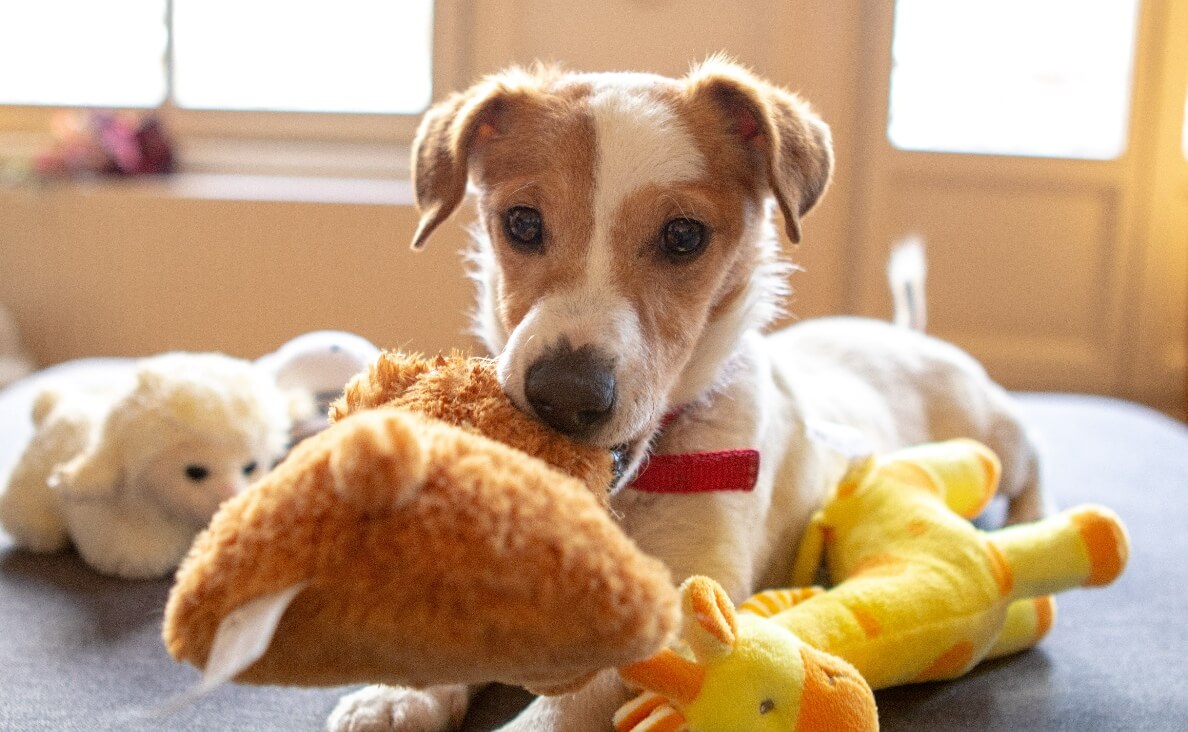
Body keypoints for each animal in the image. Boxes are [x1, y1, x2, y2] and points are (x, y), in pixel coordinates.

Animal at [330, 58, 1045, 732]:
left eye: (683, 236)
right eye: (523, 223)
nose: (565, 396)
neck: (633, 487)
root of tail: (900, 333)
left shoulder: (693, 599)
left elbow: (573, 702)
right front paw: (399, 695)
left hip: (996, 433)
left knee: (1033, 461)